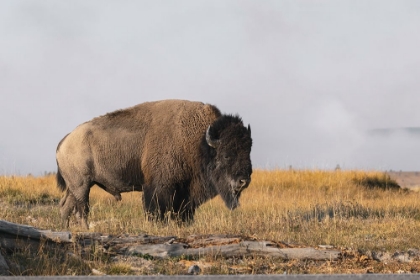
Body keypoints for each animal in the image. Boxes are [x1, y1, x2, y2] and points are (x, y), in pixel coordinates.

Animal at [55, 100, 253, 228]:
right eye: (226, 155)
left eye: (249, 150)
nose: (244, 181)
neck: (199, 142)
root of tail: (65, 141)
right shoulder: (159, 187)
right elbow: (156, 210)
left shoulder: (185, 192)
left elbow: (183, 211)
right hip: (82, 186)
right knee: (81, 209)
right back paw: (84, 230)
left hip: (76, 187)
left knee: (66, 206)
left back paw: (65, 229)